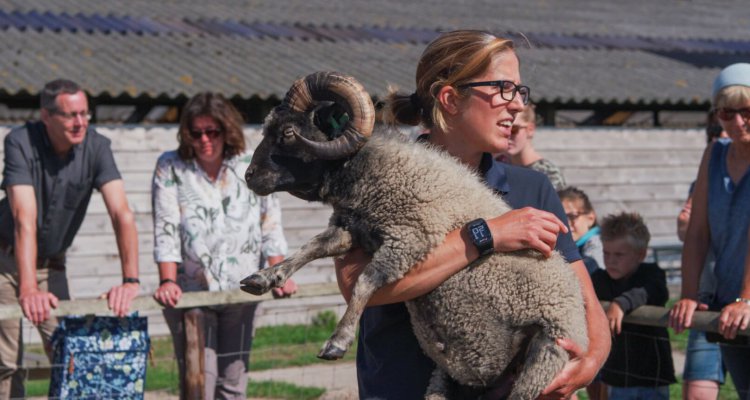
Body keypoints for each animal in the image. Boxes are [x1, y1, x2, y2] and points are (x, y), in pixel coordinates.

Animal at [241, 72, 588, 400]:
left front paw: (337, 341)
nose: (249, 176)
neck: (369, 169)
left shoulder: (410, 238)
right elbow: (311, 247)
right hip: (447, 377)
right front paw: (264, 278)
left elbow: (364, 282)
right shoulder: (353, 230)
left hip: (544, 357)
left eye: (288, 133)